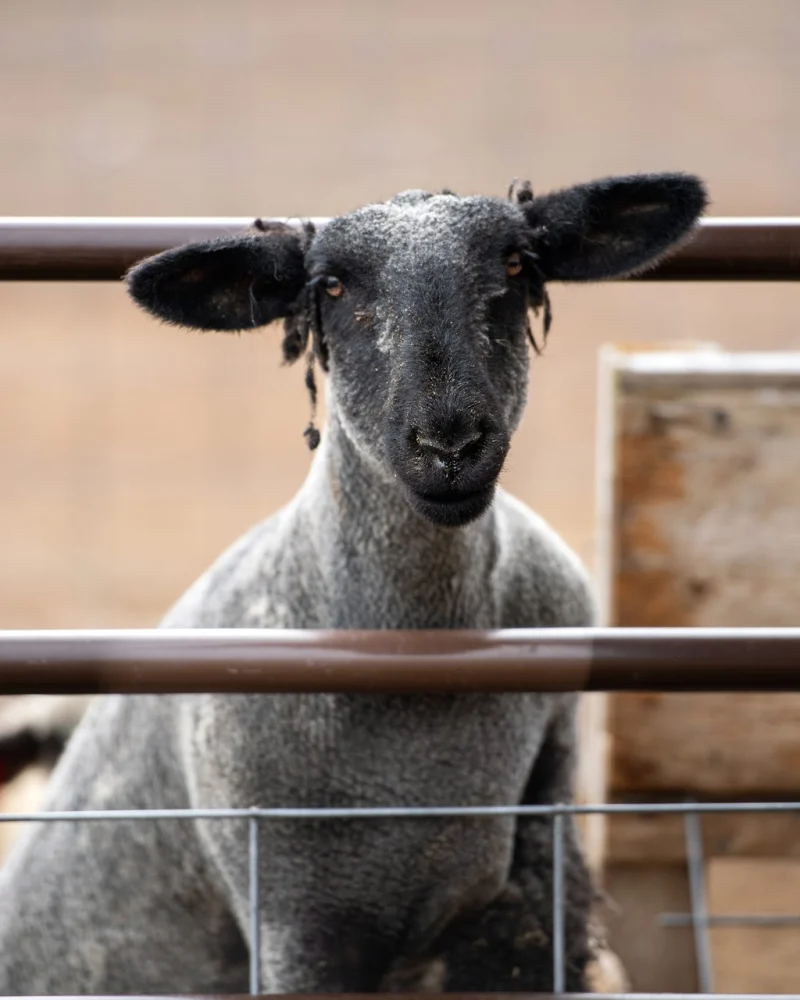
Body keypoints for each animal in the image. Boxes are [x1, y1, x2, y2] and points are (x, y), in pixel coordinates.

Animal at [0, 172, 706, 995]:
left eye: (513, 264)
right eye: (332, 286)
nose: (449, 443)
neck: (418, 647)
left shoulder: (532, 889)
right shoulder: (299, 920)